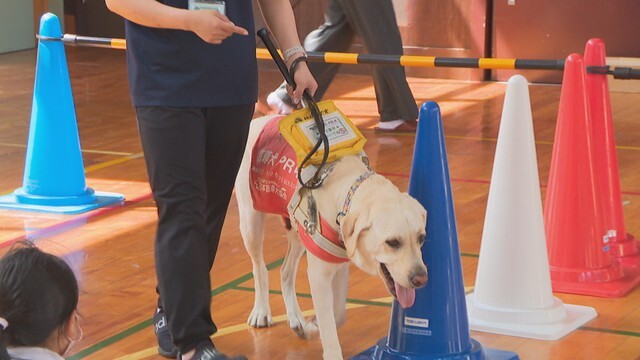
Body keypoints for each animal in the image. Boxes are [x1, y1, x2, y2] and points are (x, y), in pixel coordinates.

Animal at [232, 114, 428, 358]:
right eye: (392, 242)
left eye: (421, 238)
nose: (421, 279)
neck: (346, 189)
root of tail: (258, 119)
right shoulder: (319, 273)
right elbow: (329, 323)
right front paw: (321, 333)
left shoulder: (338, 259)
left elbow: (337, 313)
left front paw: (310, 326)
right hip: (251, 222)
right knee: (259, 268)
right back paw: (261, 311)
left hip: (300, 232)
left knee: (286, 271)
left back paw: (296, 319)